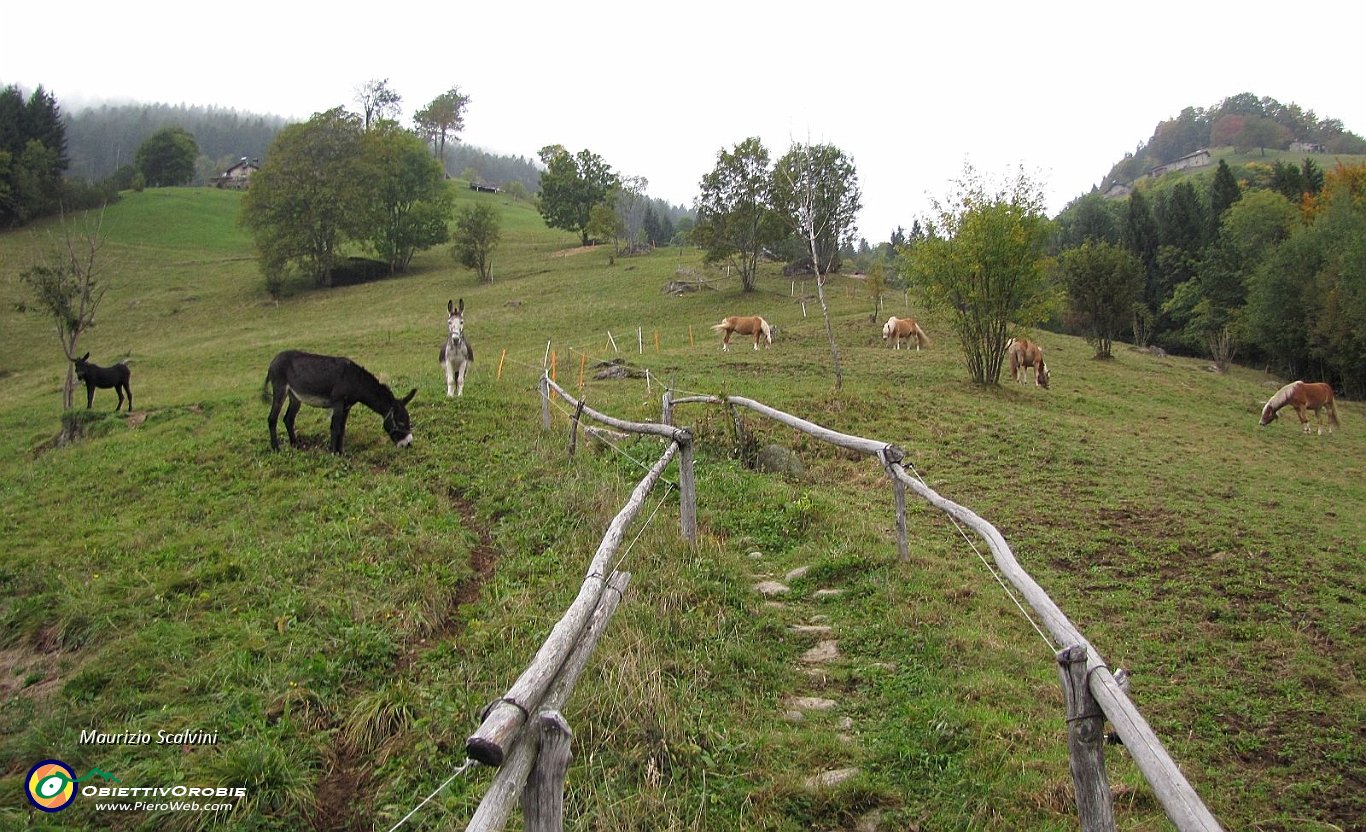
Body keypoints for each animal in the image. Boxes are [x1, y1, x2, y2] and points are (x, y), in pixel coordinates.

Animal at [263, 349, 412, 453]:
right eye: (400, 422)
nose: (409, 444)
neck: (355, 380)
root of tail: (273, 361)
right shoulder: (338, 404)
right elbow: (335, 428)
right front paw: (334, 453)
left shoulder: (346, 406)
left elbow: (342, 429)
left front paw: (341, 451)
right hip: (280, 390)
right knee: (272, 419)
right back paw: (276, 449)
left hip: (295, 397)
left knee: (288, 419)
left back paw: (295, 445)